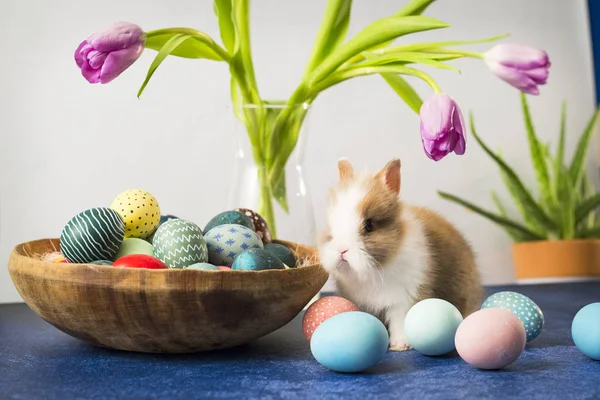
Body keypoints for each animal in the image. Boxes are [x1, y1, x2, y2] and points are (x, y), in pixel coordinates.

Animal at [318, 158, 482, 352]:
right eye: (330, 224)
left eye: (369, 224)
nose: (341, 250)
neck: (372, 271)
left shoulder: (405, 298)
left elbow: (399, 321)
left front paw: (400, 346)